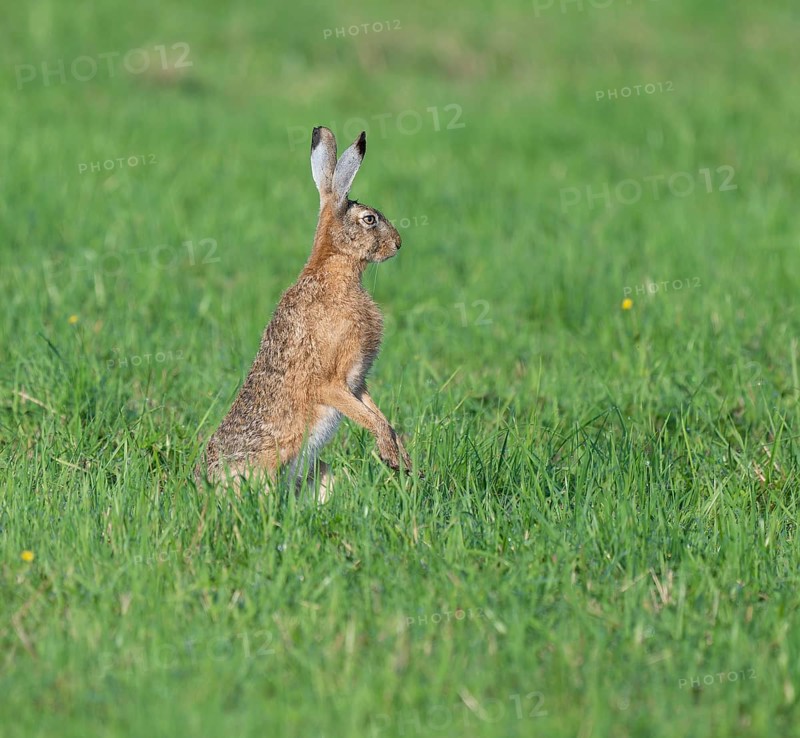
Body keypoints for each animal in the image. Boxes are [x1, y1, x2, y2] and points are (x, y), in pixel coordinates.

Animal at [195, 126, 412, 500]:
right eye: (369, 219)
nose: (398, 244)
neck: (335, 271)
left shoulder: (357, 381)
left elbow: (378, 413)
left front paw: (402, 457)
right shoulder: (331, 381)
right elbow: (367, 416)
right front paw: (390, 454)